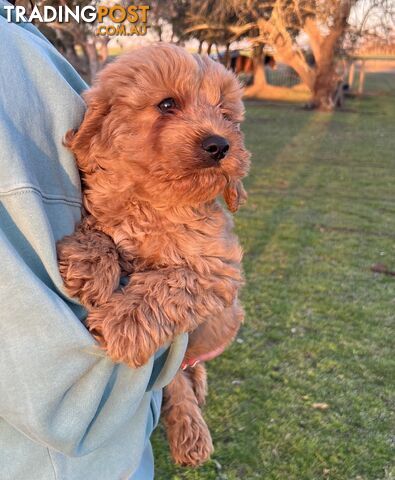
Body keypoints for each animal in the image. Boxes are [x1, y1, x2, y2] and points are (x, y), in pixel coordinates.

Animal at [57, 44, 251, 464]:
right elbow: (100, 229)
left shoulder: (219, 272)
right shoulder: (102, 206)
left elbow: (170, 284)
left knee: (183, 378)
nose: (219, 145)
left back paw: (193, 428)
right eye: (166, 104)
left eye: (225, 114)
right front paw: (89, 264)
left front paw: (122, 324)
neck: (154, 199)